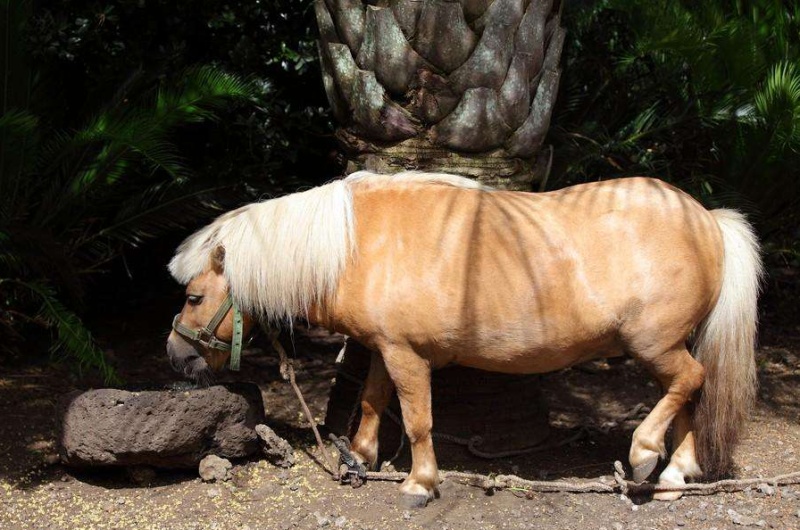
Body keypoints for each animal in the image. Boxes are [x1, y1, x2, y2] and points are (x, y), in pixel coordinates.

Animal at [166, 171, 760, 506]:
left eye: (193, 297)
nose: (175, 355)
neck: (356, 245)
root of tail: (706, 218)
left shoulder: (407, 356)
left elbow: (418, 420)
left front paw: (419, 484)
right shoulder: (386, 350)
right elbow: (373, 401)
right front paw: (362, 458)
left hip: (653, 345)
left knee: (691, 381)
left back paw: (644, 454)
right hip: (663, 349)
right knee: (688, 394)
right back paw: (675, 473)